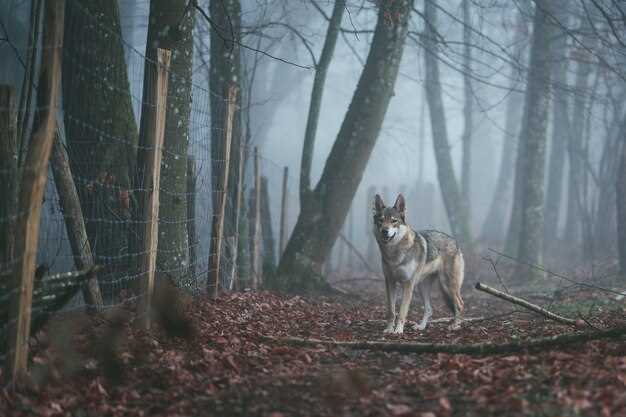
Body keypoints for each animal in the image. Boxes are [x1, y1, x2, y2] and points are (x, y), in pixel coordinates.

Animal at [370, 193, 464, 334]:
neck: (394, 254)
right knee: (430, 309)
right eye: (381, 220)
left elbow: (402, 311)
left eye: (394, 221)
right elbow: (391, 311)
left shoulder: (408, 284)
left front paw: (398, 331)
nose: (384, 231)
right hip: (422, 287)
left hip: (447, 285)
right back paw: (421, 326)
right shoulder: (390, 282)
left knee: (460, 304)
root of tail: (454, 241)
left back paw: (455, 325)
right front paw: (389, 329)